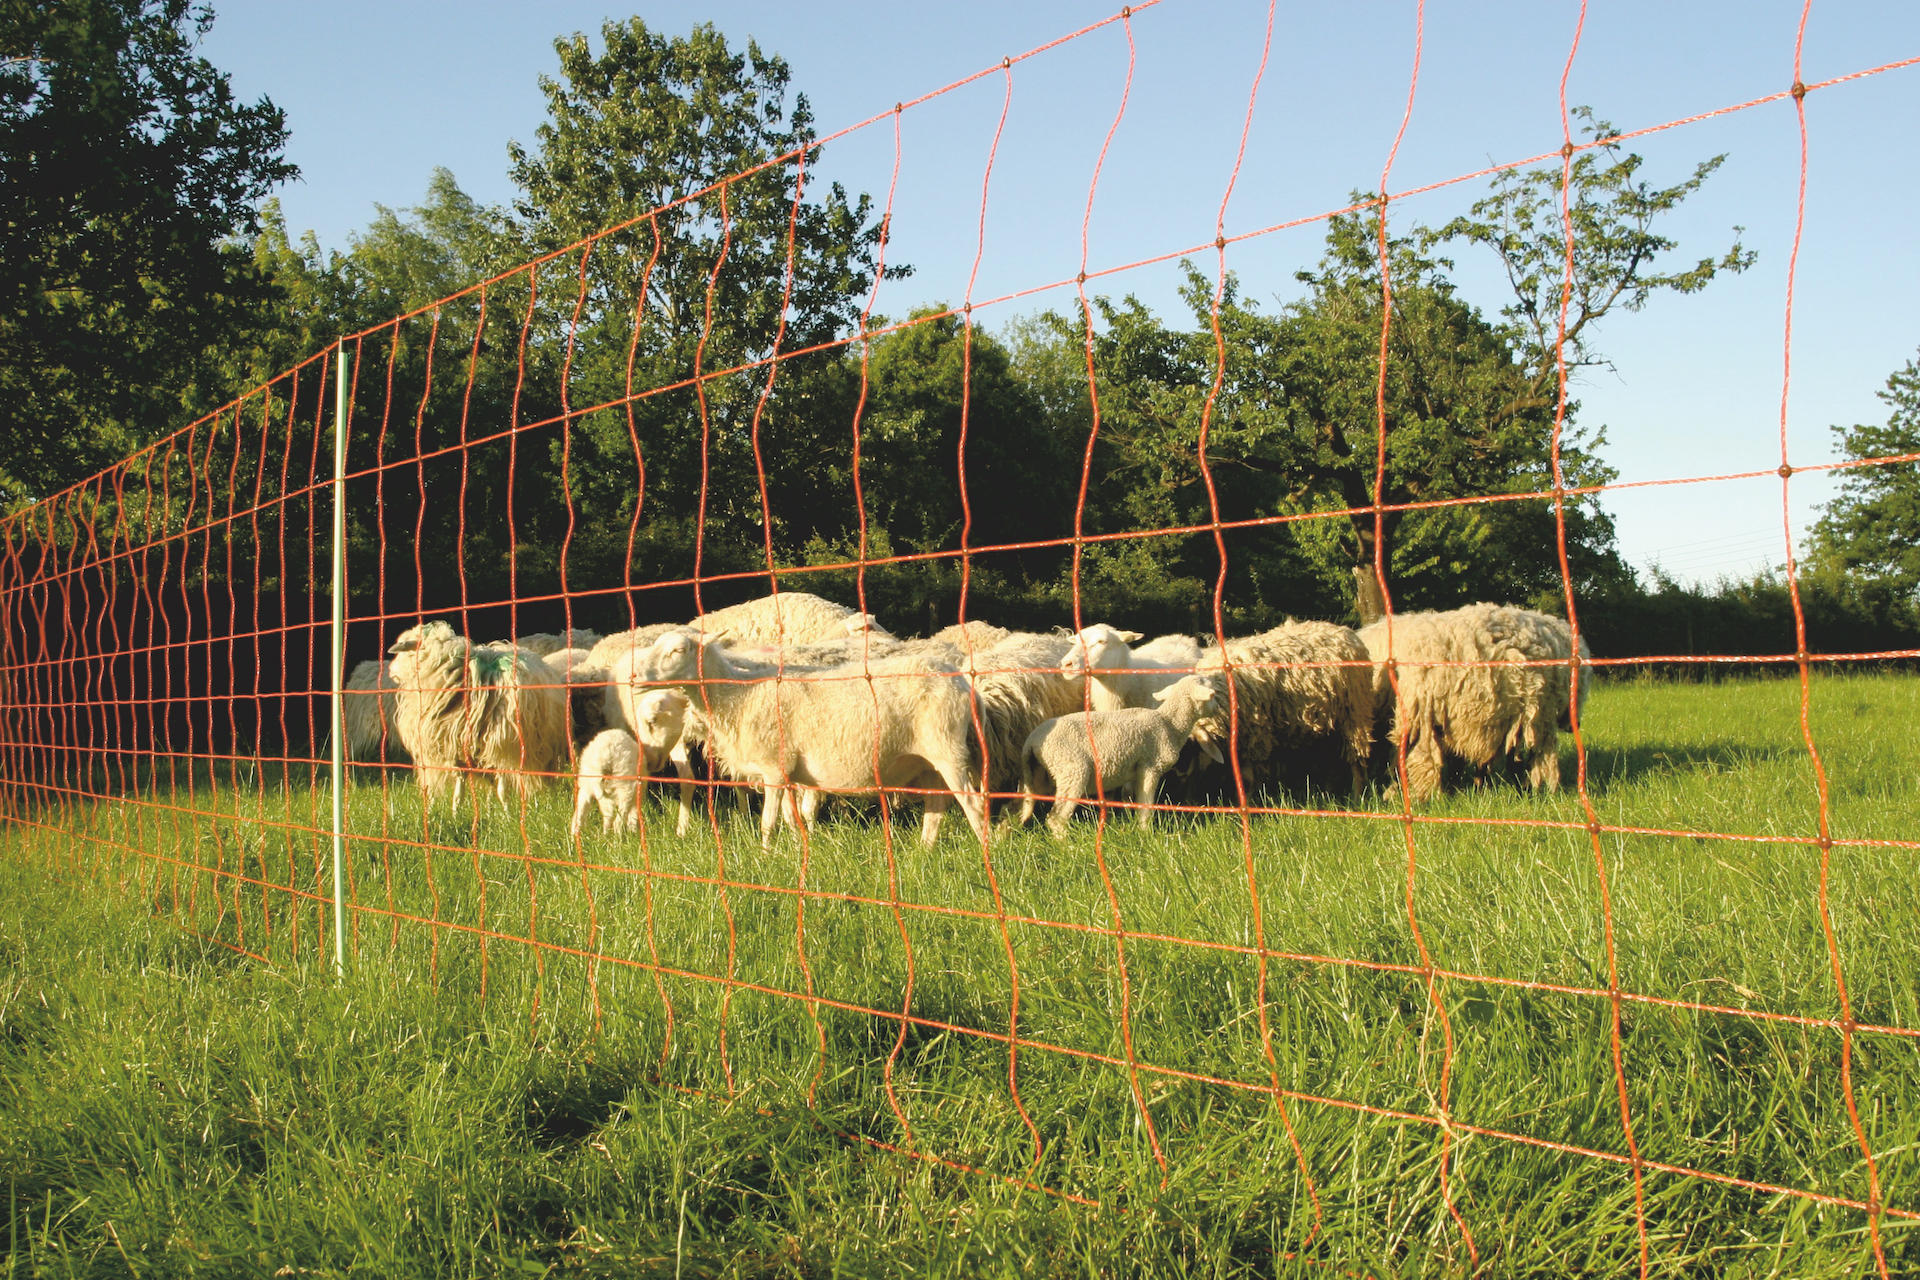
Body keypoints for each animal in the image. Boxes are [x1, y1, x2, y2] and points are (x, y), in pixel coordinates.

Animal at [387, 621, 569, 807]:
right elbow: (459, 789)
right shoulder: (456, 749)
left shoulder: (499, 745)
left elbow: (502, 789)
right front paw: (456, 810)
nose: (390, 671)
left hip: (537, 746)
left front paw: (507, 812)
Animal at [639, 629, 986, 850]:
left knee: (974, 806)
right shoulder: (786, 773)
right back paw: (924, 852)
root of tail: (962, 682)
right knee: (936, 807)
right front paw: (799, 852)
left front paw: (765, 859)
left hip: (948, 749)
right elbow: (792, 820)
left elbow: (769, 822)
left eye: (678, 650)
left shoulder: (773, 767)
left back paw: (988, 854)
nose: (636, 677)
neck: (738, 696)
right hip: (926, 762)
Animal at [1016, 675, 1222, 836]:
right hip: (1072, 769)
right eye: (1212, 693)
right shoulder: (1150, 766)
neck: (1169, 723)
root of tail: (1031, 741)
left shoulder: (1135, 769)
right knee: (1056, 818)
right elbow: (1146, 804)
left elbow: (1131, 798)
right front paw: (1146, 833)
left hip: (1039, 774)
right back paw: (1069, 846)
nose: (1218, 709)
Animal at [1190, 621, 1374, 800]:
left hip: (1354, 714)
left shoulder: (1256, 738)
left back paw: (1357, 797)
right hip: (1328, 722)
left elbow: (1248, 779)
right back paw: (1329, 794)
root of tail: (1344, 630)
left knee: (1357, 761)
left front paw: (1247, 801)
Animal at [1358, 603, 1594, 803]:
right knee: (1511, 758)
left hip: (1535, 715)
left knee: (1533, 760)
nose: (1578, 724)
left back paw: (1529, 791)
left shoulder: (1420, 717)